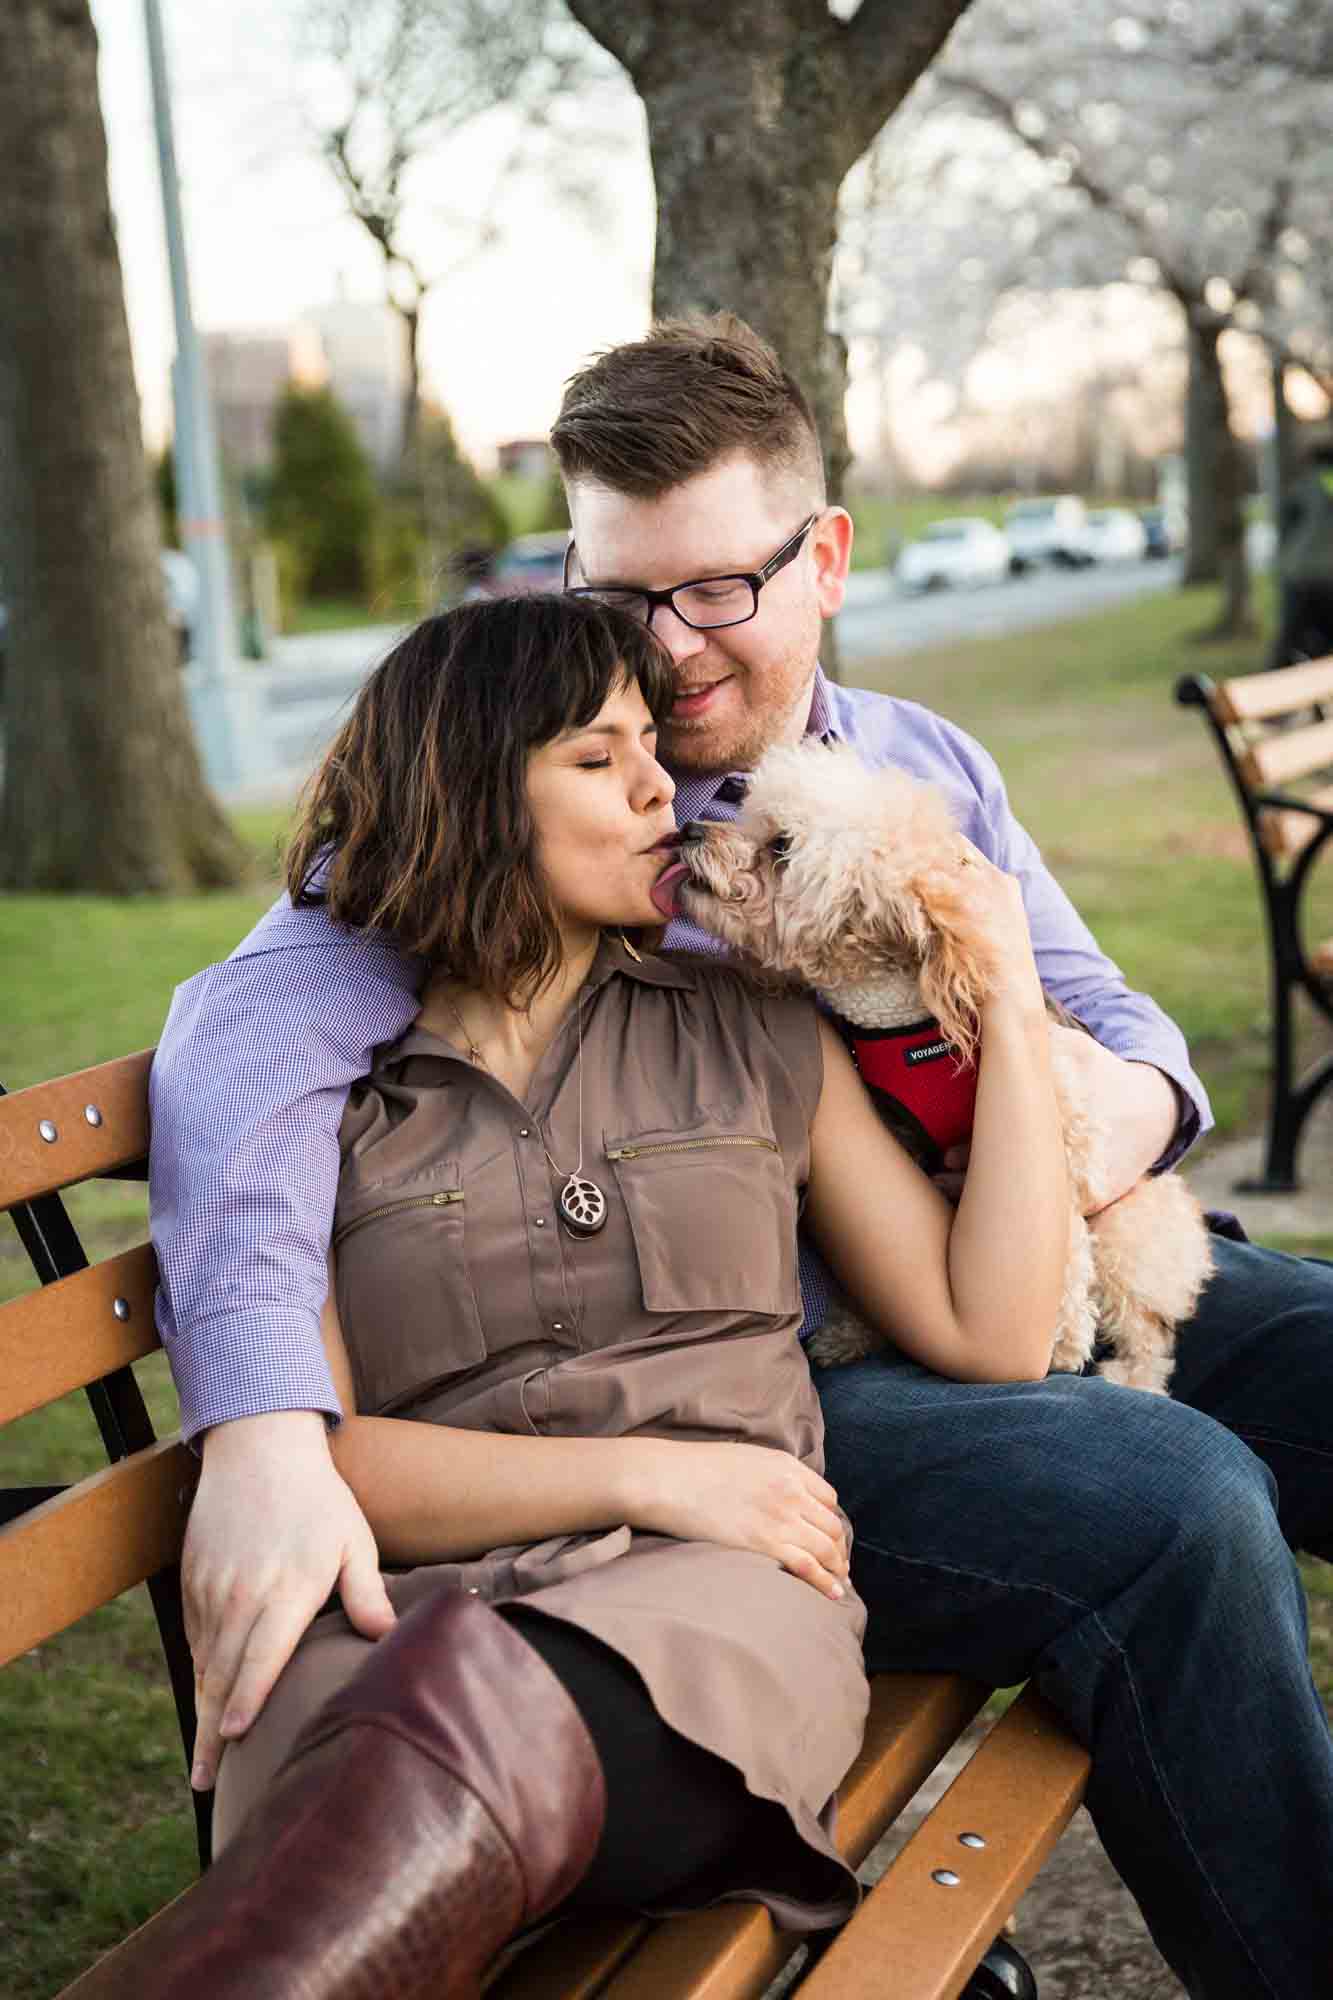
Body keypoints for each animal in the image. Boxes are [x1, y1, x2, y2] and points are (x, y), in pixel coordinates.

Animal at [680, 736, 1208, 1392]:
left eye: (780, 844)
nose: (688, 831)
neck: (900, 1018)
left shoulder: (1062, 1141)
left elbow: (1061, 1245)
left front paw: (1061, 1340)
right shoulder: (901, 1138)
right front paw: (854, 1331)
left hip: (1130, 1233)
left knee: (1148, 1326)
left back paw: (1130, 1373)